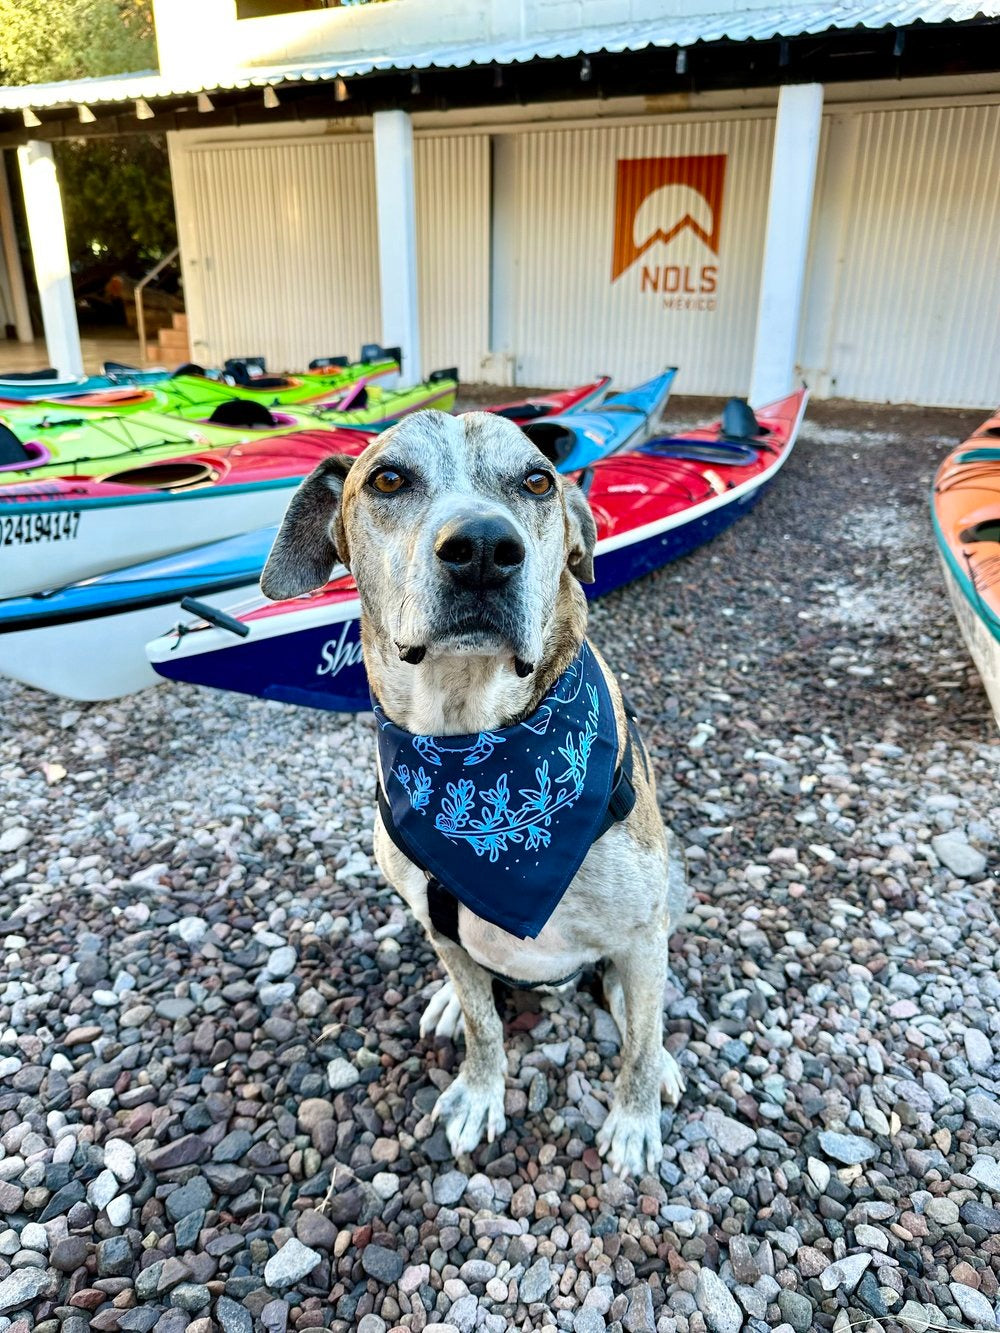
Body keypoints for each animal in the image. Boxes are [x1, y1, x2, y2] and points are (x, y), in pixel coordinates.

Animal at [260, 407, 688, 1178]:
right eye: (388, 479)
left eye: (538, 481)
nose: (485, 547)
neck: (474, 739)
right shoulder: (445, 931)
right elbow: (484, 1024)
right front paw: (481, 1090)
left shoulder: (641, 934)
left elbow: (638, 1042)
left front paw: (636, 1118)